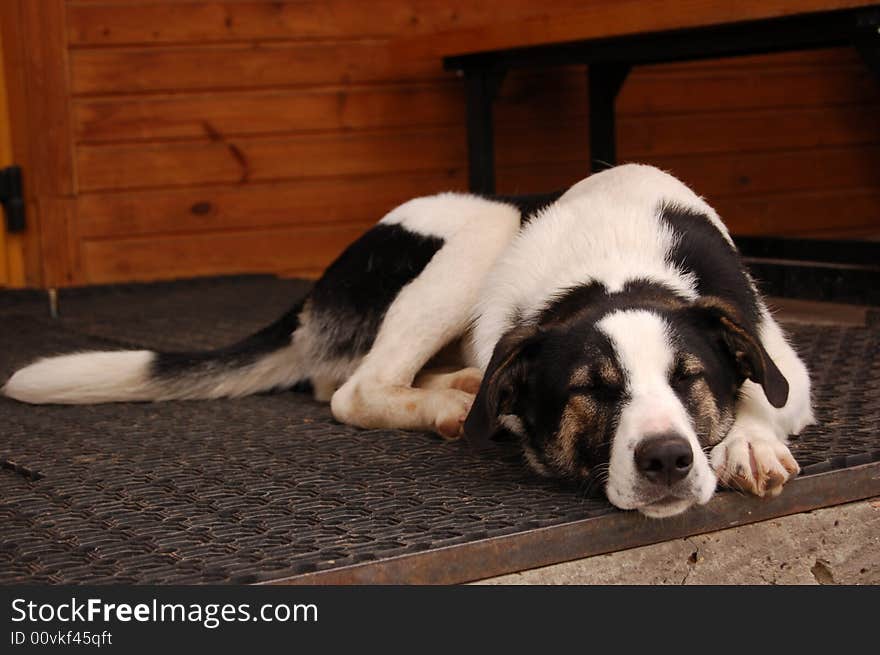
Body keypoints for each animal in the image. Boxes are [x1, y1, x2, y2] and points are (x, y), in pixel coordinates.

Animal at [3, 163, 816, 516]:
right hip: (481, 231)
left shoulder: (782, 362)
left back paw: (456, 388)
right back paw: (449, 403)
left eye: (690, 379)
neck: (614, 263)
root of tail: (318, 285)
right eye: (592, 389)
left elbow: (766, 392)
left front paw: (746, 441)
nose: (668, 459)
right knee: (353, 389)